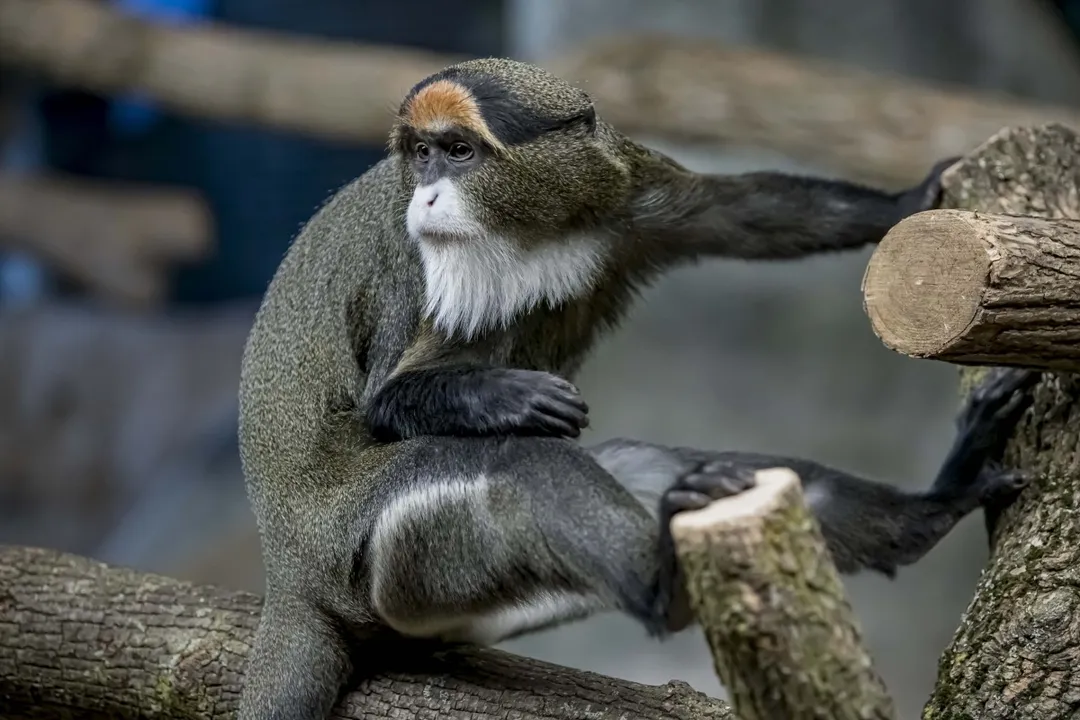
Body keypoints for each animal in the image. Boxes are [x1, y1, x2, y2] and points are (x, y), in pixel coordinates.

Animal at [236, 56, 1008, 720]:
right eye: (421, 154)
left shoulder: (626, 188)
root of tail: (289, 573)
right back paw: (662, 586)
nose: (426, 195)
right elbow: (387, 398)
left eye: (458, 152)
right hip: (371, 556)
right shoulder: (413, 263)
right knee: (518, 462)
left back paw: (925, 513)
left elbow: (738, 212)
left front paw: (911, 198)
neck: (527, 225)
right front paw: (514, 399)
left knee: (647, 463)